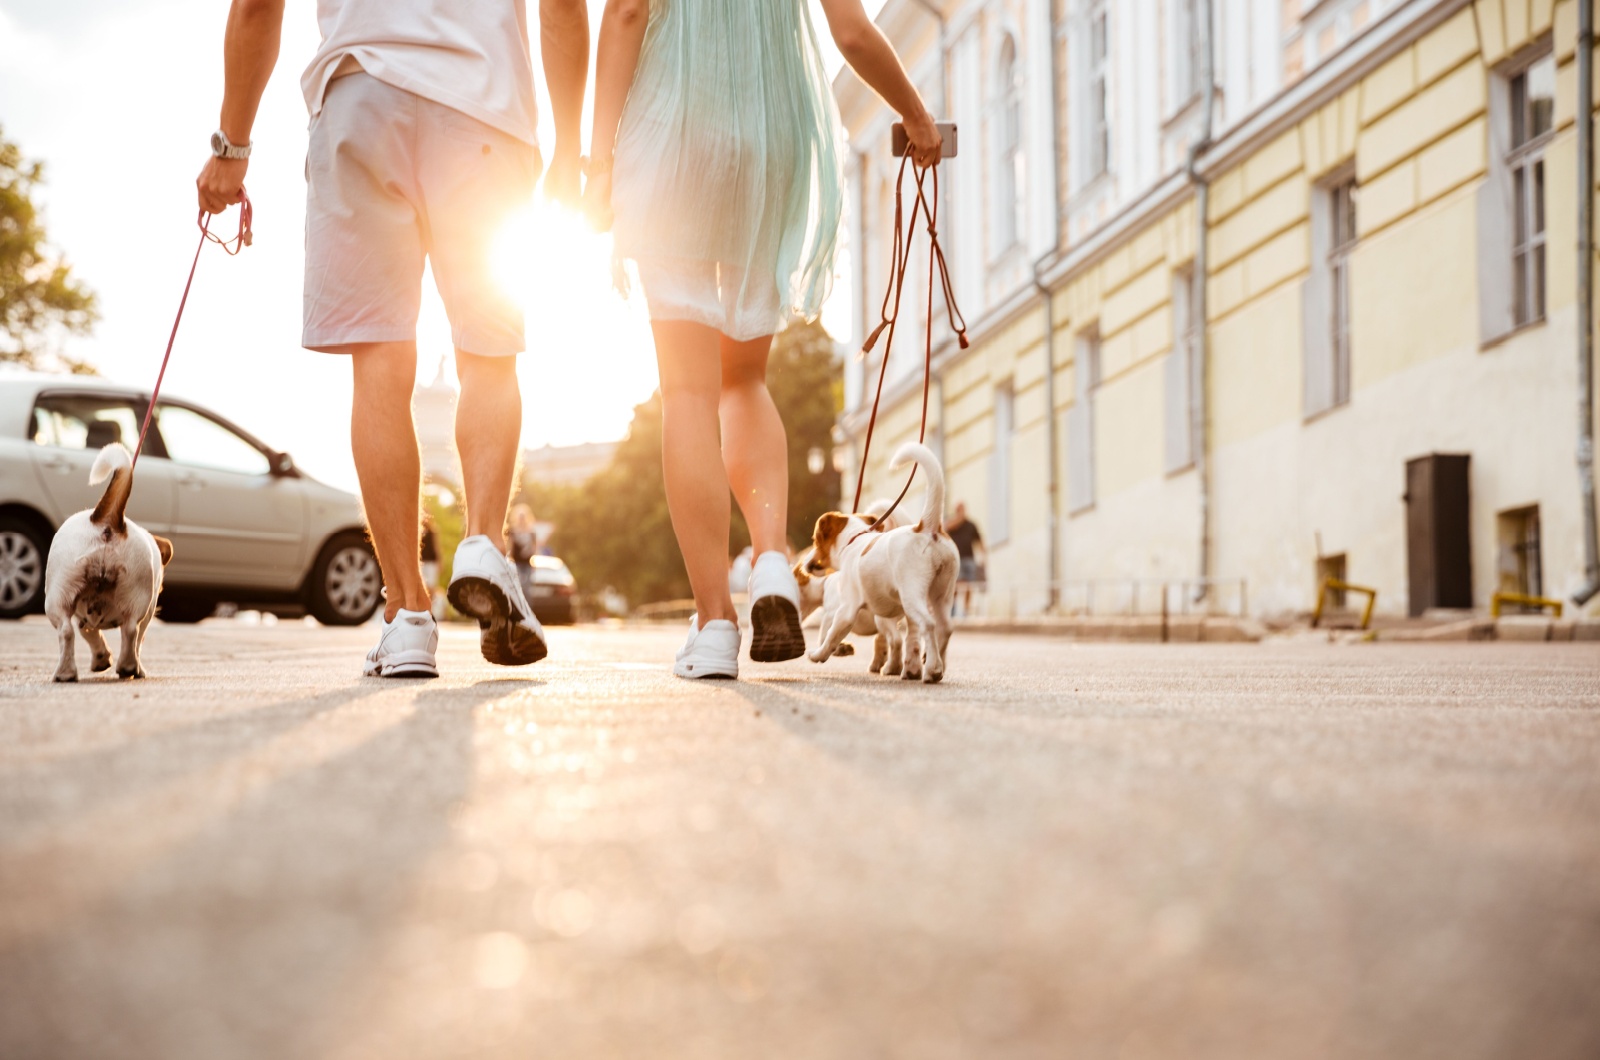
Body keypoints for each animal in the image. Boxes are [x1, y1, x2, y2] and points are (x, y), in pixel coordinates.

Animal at [46, 445, 172, 685]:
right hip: (135, 597)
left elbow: (91, 634)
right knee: (131, 631)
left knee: (66, 631)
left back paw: (65, 673)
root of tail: (105, 519)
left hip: (59, 596)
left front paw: (101, 659)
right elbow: (136, 641)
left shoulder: (85, 618)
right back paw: (129, 667)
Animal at [806, 445, 953, 685]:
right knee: (944, 628)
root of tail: (927, 528)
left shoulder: (847, 609)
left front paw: (818, 654)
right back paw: (933, 665)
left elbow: (831, 635)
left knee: (928, 625)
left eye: (814, 540)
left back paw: (931, 669)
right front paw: (909, 668)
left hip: (912, 595)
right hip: (941, 594)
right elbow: (908, 640)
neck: (854, 540)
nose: (806, 563)